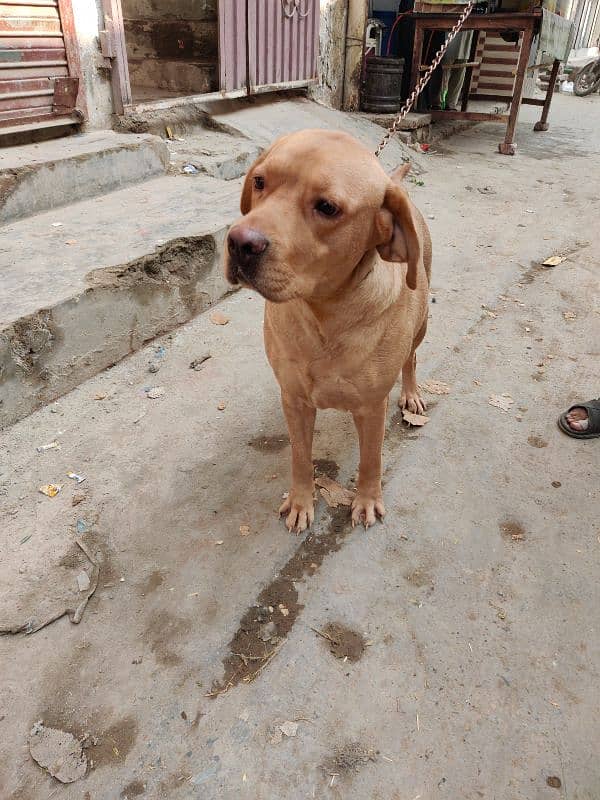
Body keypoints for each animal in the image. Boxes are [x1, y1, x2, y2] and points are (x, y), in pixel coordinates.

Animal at [225, 130, 432, 532]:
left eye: (327, 207)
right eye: (259, 181)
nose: (239, 243)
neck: (325, 314)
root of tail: (394, 184)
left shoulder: (372, 407)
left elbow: (371, 460)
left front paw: (366, 500)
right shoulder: (295, 401)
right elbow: (300, 457)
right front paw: (301, 501)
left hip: (422, 323)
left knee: (411, 358)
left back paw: (411, 392)